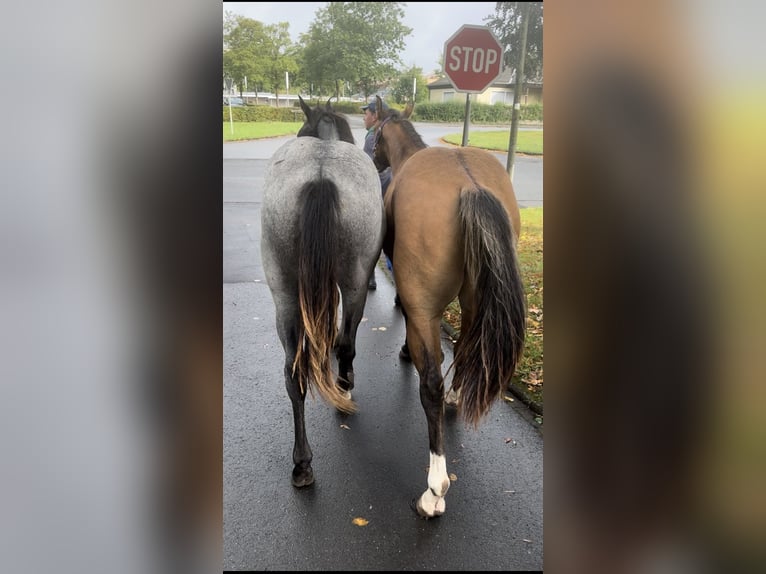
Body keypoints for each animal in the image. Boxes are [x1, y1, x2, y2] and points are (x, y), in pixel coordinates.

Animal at [262, 95, 384, 490]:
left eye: (302, 128)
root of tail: (320, 175)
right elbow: (344, 336)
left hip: (285, 294)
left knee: (293, 372)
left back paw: (302, 462)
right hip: (356, 282)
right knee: (346, 343)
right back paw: (344, 387)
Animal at [372, 97, 528, 520]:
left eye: (375, 132)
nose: (373, 158)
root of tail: (469, 185)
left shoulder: (417, 304)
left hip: (426, 306)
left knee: (430, 384)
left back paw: (435, 488)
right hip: (475, 300)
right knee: (465, 346)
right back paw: (457, 396)